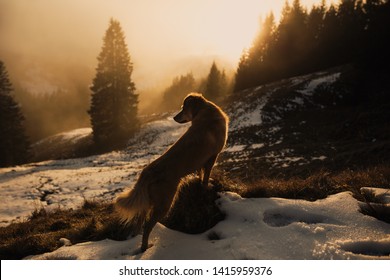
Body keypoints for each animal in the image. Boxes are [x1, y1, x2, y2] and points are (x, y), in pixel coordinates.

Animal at [114, 92, 227, 252]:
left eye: (183, 108)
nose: (174, 117)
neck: (205, 113)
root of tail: (146, 173)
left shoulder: (202, 162)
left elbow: (201, 175)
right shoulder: (212, 157)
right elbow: (206, 176)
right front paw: (207, 187)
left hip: (148, 202)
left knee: (140, 221)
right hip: (164, 203)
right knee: (148, 226)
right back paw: (145, 247)